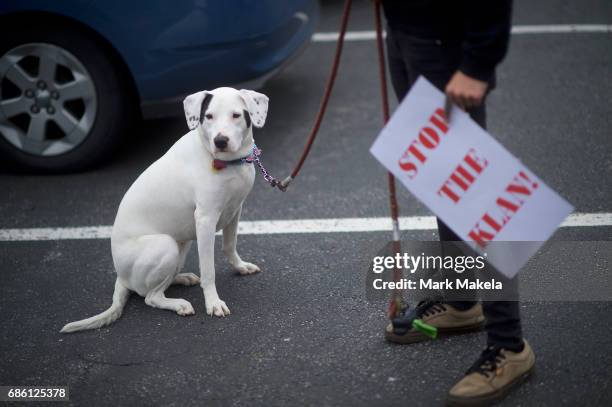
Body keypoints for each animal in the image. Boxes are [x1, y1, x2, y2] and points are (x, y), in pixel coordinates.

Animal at [61, 87, 268, 334]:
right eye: (208, 116)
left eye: (236, 115)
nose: (220, 141)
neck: (227, 162)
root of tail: (121, 277)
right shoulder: (206, 219)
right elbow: (209, 270)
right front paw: (213, 303)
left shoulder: (235, 209)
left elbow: (230, 245)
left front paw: (240, 267)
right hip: (165, 245)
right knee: (150, 296)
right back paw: (178, 304)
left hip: (181, 245)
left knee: (162, 282)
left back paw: (182, 278)